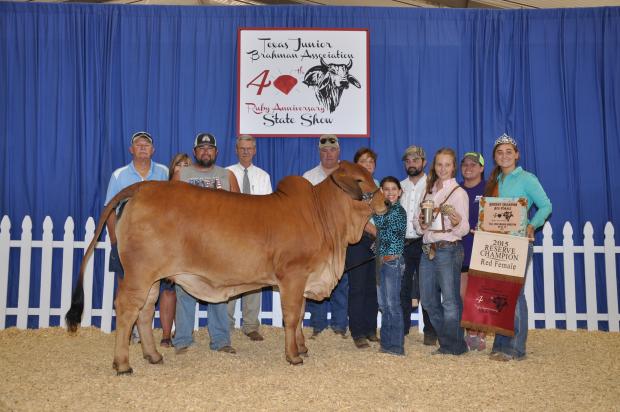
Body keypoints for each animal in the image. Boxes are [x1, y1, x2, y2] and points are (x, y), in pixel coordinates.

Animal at [68, 160, 388, 374]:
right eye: (360, 180)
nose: (386, 201)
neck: (324, 218)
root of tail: (143, 187)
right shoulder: (292, 276)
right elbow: (292, 316)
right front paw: (293, 355)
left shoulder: (304, 279)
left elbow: (298, 317)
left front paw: (302, 348)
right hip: (138, 274)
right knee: (126, 310)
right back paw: (122, 364)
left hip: (152, 279)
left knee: (145, 311)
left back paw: (154, 356)